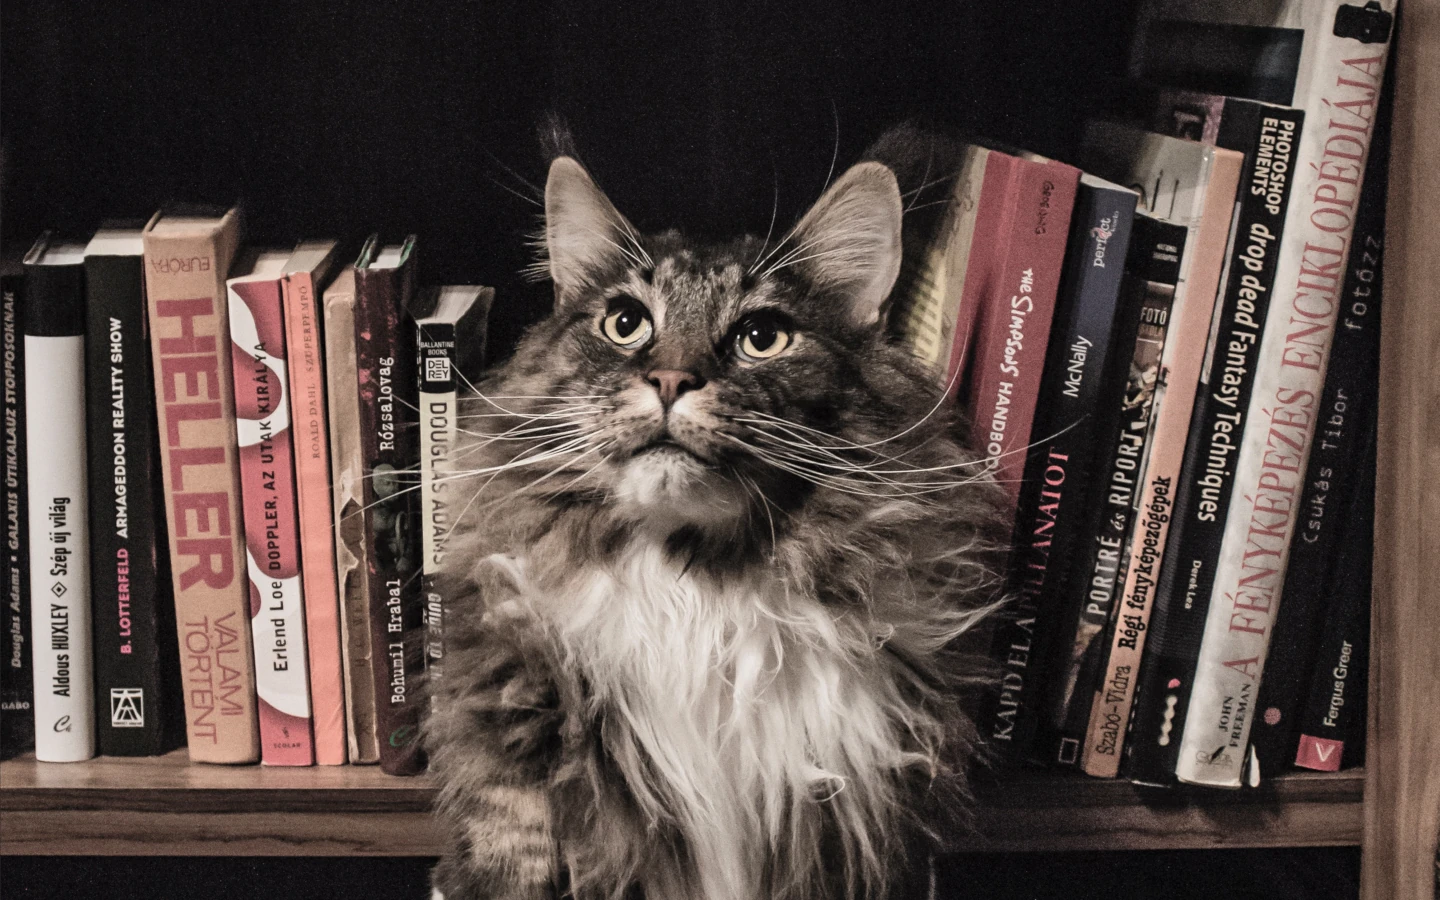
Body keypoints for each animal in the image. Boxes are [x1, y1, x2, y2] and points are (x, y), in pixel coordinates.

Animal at [426, 131, 1008, 898]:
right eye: (625, 324)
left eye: (762, 336)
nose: (672, 379)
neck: (693, 587)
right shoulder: (512, 775)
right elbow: (512, 846)